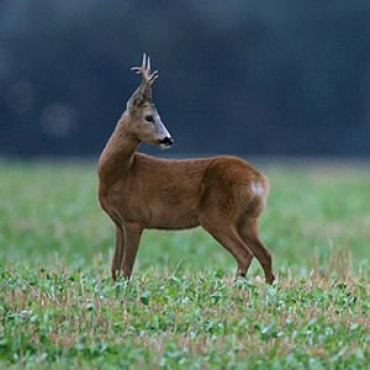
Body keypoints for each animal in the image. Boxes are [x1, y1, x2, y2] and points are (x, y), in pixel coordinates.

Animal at [98, 54, 274, 284]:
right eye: (149, 117)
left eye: (156, 116)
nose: (168, 139)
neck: (117, 174)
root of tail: (259, 180)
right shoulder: (118, 222)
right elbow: (115, 269)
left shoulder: (135, 218)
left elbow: (126, 268)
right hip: (247, 218)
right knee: (266, 255)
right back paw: (267, 287)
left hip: (216, 213)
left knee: (245, 253)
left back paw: (235, 286)